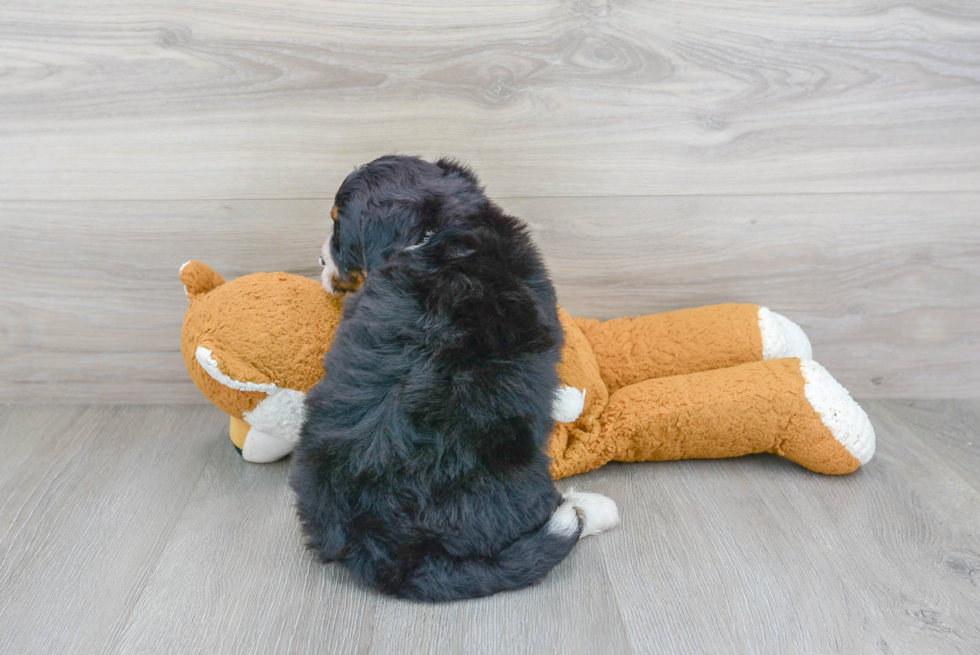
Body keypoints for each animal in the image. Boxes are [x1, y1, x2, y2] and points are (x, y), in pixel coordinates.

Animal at [288, 156, 616, 604]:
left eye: (339, 228)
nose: (321, 262)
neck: (439, 228)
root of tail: (381, 546)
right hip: (522, 471)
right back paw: (591, 508)